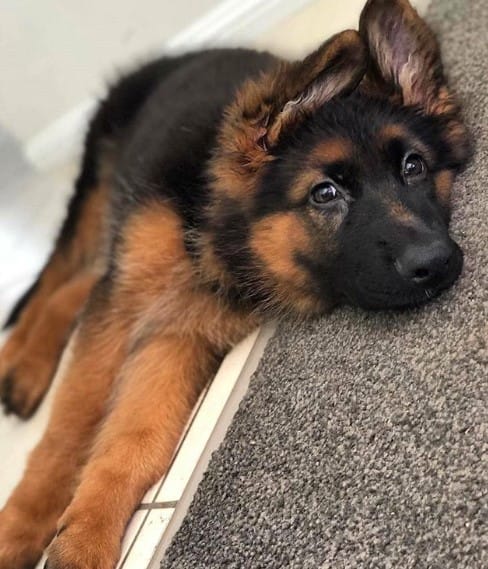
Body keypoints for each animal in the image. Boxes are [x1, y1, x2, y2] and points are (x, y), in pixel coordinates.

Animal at [0, 1, 471, 568]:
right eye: (325, 193)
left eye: (413, 166)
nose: (438, 263)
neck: (220, 229)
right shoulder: (127, 302)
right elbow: (70, 428)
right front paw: (20, 530)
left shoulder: (182, 329)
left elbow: (135, 438)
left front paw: (86, 535)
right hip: (100, 191)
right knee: (61, 271)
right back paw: (20, 363)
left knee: (79, 285)